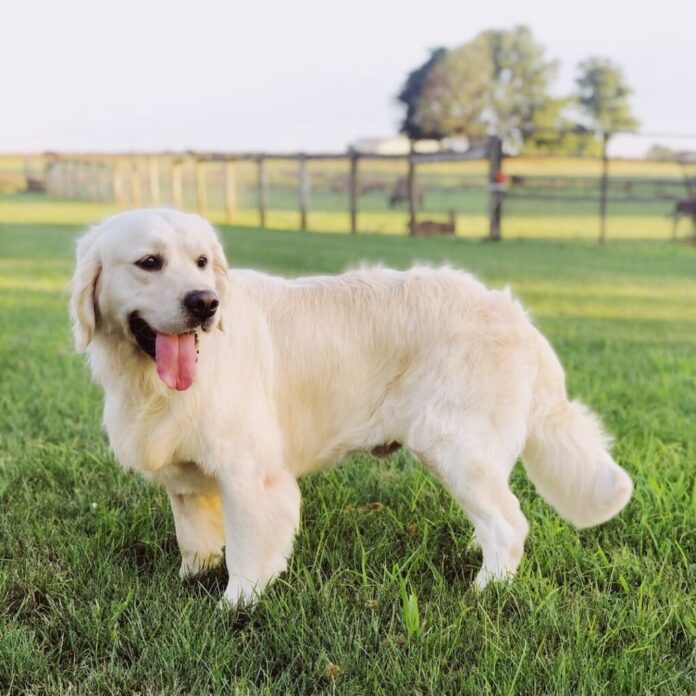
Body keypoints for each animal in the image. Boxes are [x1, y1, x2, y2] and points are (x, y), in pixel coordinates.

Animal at [72, 207, 636, 604]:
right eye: (149, 263)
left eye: (202, 262)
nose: (206, 302)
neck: (151, 382)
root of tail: (515, 315)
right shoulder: (186, 481)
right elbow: (194, 542)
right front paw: (189, 582)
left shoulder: (253, 477)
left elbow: (249, 555)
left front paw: (233, 607)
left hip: (455, 447)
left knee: (510, 522)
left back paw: (487, 590)